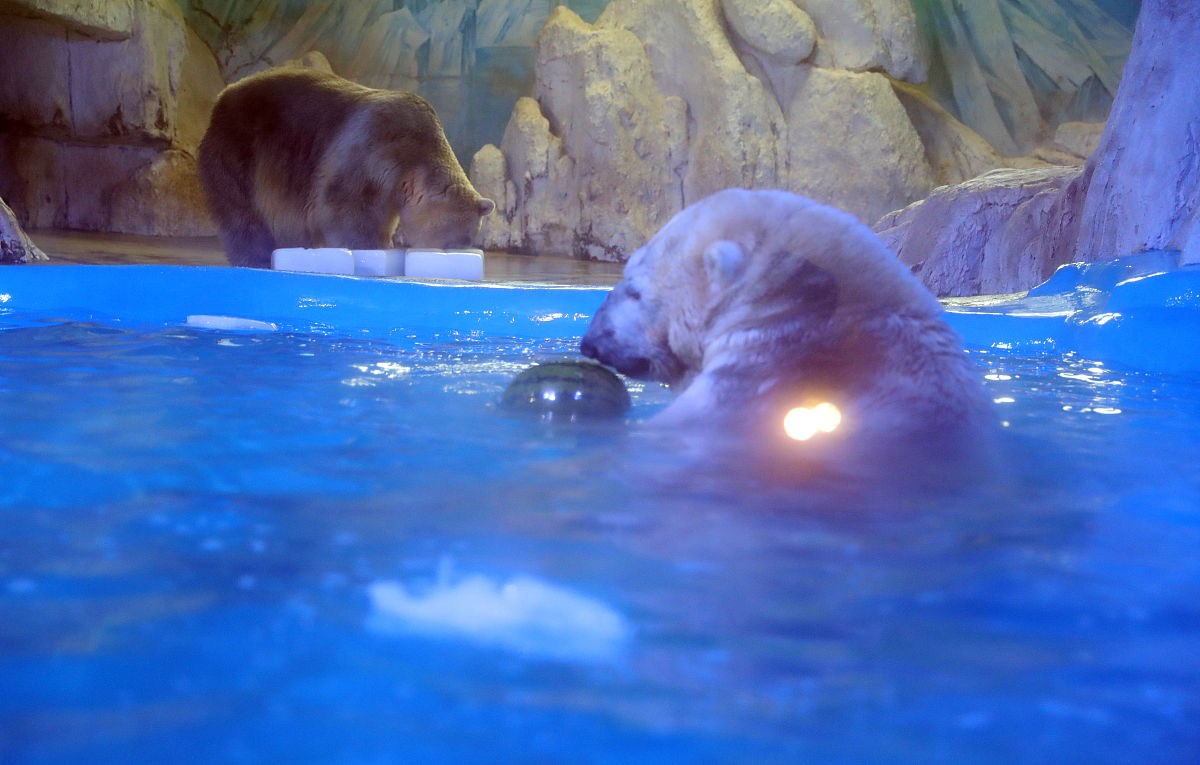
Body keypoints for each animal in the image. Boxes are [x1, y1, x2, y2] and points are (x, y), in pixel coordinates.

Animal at [198, 67, 494, 268]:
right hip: (241, 147)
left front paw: (384, 242)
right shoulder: (369, 147)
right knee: (241, 210)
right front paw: (367, 247)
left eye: (469, 237)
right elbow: (343, 205)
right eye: (458, 236)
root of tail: (224, 94)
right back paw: (255, 256)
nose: (457, 252)